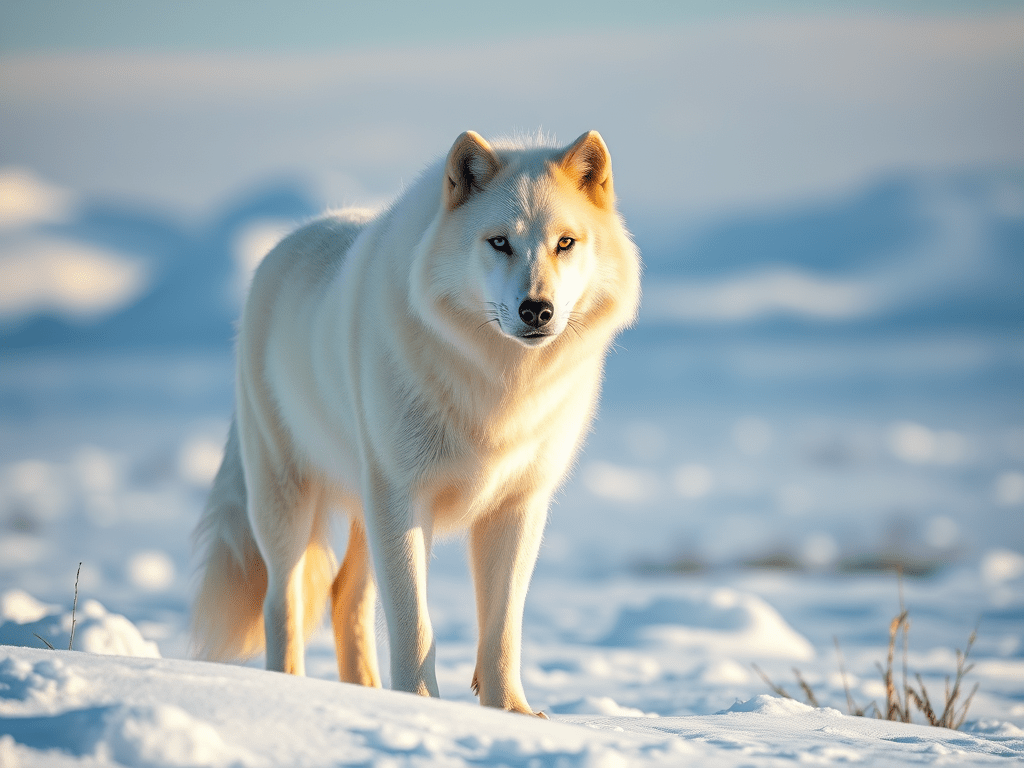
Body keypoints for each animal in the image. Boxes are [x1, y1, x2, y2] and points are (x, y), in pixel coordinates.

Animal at [191, 130, 641, 715]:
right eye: (499, 243)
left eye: (565, 243)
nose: (536, 310)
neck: (498, 386)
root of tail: (286, 243)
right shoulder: (403, 498)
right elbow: (415, 625)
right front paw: (423, 706)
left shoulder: (519, 506)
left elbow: (503, 629)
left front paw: (512, 713)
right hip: (288, 503)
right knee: (281, 601)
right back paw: (293, 690)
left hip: (362, 513)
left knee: (344, 596)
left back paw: (364, 694)